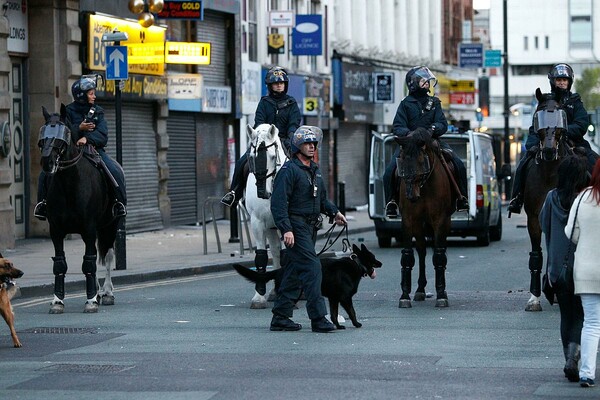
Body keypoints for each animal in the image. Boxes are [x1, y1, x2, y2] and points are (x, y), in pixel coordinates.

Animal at [38, 104, 117, 312]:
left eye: (62, 134)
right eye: (43, 134)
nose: (47, 162)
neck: (69, 183)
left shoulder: (89, 228)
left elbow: (89, 263)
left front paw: (91, 301)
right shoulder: (56, 230)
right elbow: (60, 264)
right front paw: (58, 301)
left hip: (111, 225)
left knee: (108, 255)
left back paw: (107, 293)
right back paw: (98, 292)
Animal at [394, 128, 454, 310]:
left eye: (422, 160)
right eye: (401, 160)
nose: (411, 195)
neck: (424, 187)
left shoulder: (440, 220)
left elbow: (439, 256)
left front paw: (441, 294)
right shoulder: (408, 220)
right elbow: (407, 255)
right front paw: (404, 295)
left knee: (438, 250)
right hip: (419, 225)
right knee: (421, 251)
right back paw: (420, 289)